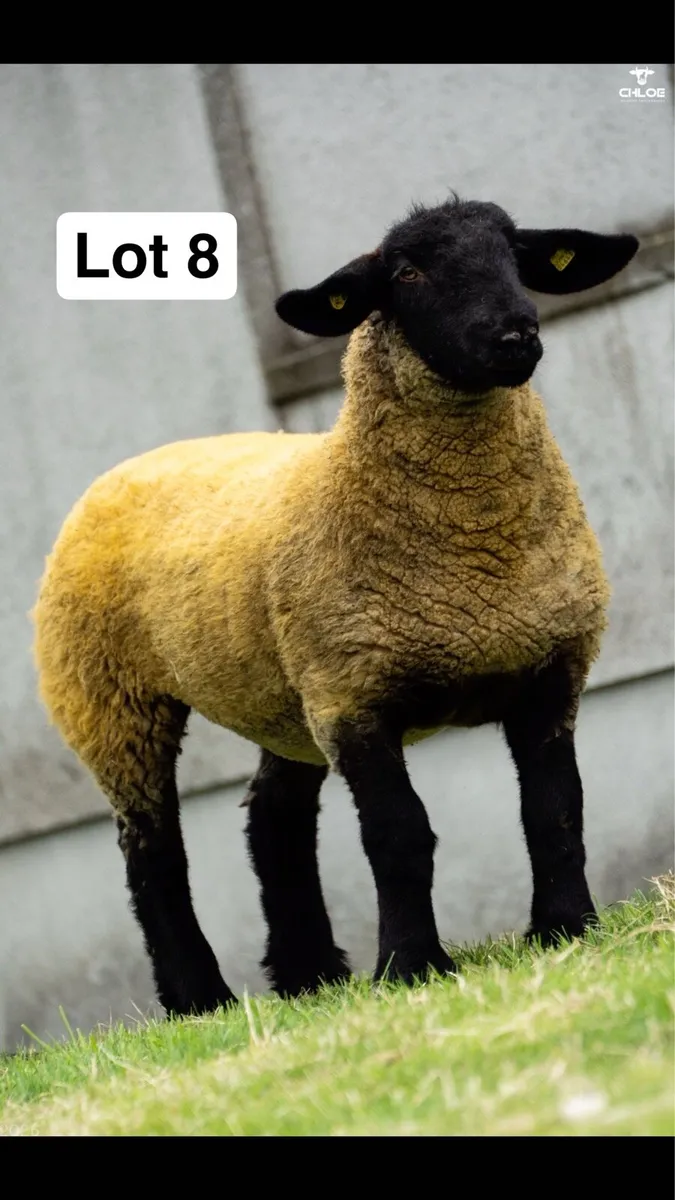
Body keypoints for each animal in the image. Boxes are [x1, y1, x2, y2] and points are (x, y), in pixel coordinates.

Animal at [32, 196, 638, 1016]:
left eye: (517, 257)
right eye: (406, 273)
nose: (515, 335)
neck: (475, 556)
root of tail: (130, 464)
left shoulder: (549, 669)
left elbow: (554, 809)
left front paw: (567, 930)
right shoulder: (354, 697)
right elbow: (399, 836)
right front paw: (411, 965)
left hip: (283, 693)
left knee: (272, 819)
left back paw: (307, 974)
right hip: (109, 701)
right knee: (150, 850)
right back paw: (199, 998)